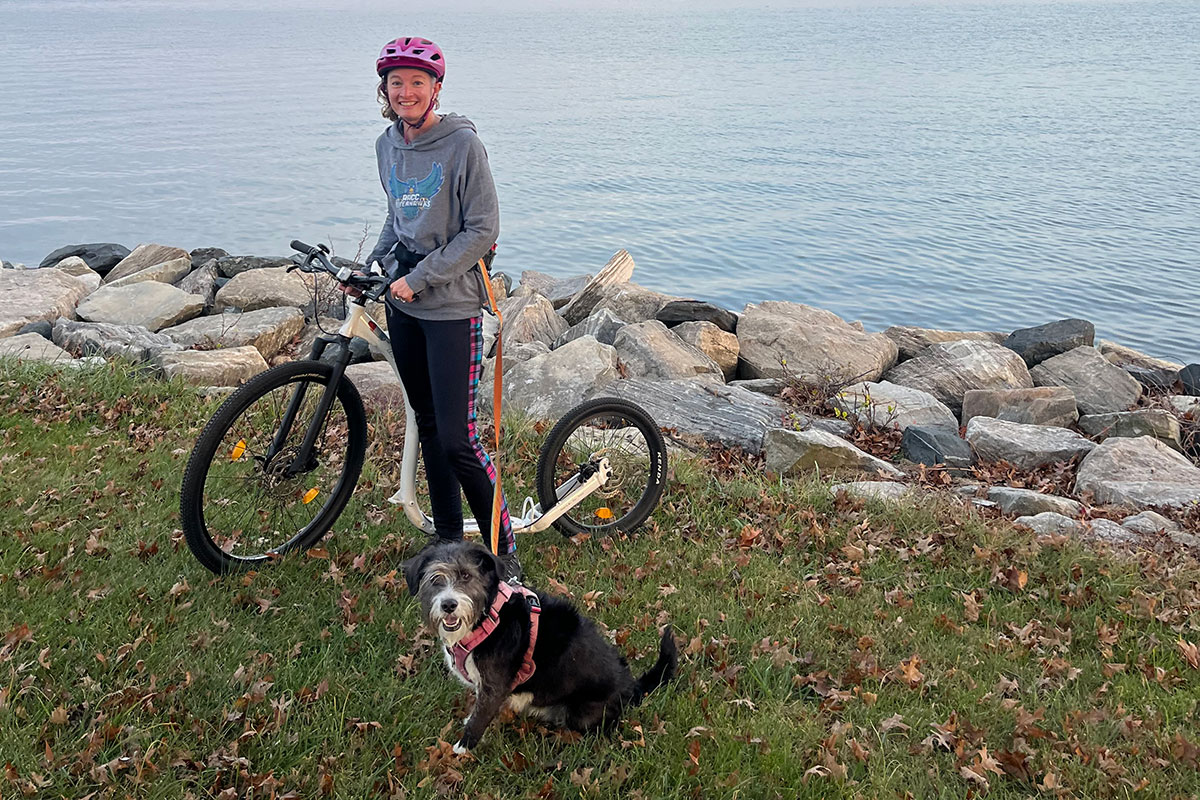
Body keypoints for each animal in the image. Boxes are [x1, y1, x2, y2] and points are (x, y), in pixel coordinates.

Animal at [403, 542, 681, 753]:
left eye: (466, 576)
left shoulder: (494, 686)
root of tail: (631, 686)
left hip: (582, 712)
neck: (487, 617)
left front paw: (462, 750)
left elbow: (479, 720)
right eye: (435, 579)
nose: (448, 605)